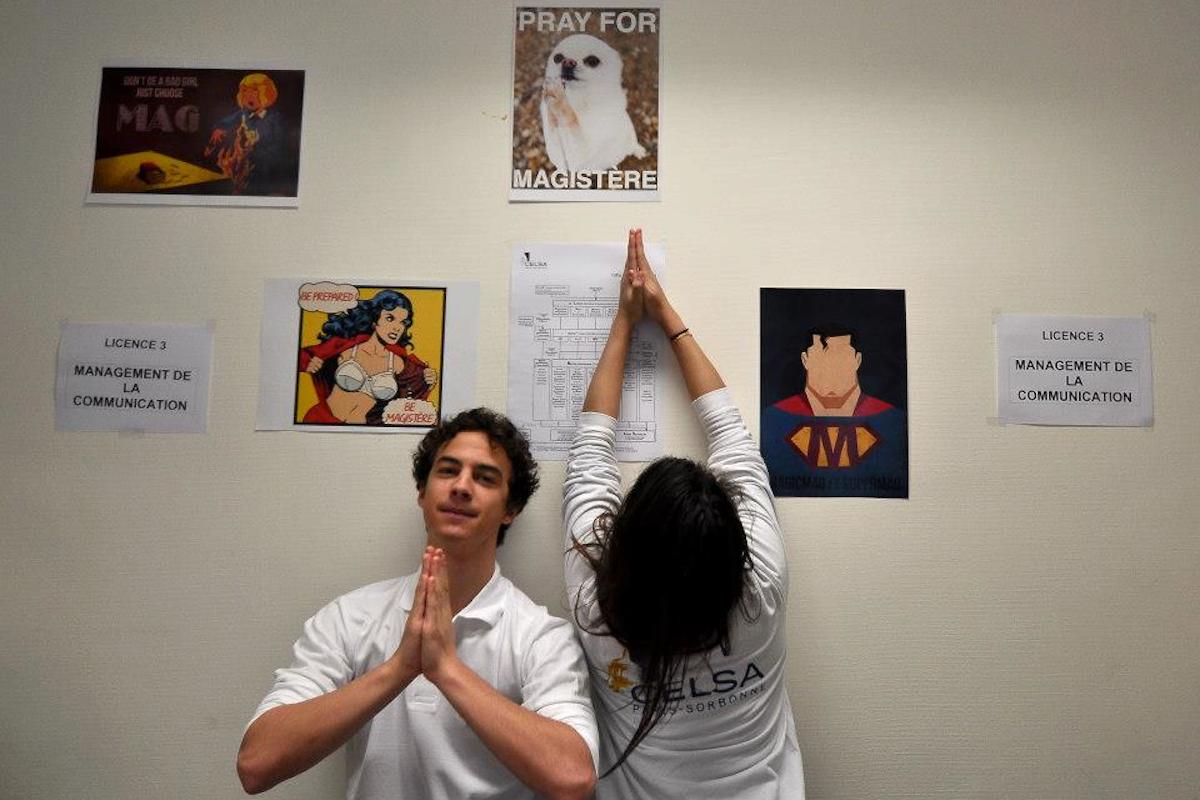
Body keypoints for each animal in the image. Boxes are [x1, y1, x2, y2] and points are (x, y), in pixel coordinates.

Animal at [539, 34, 647, 172]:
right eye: (557, 58)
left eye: (592, 61)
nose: (567, 62)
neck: (578, 99)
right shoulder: (560, 157)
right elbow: (554, 132)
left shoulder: (583, 150)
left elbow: (571, 122)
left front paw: (558, 99)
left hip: (629, 136)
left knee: (632, 144)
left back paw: (638, 150)